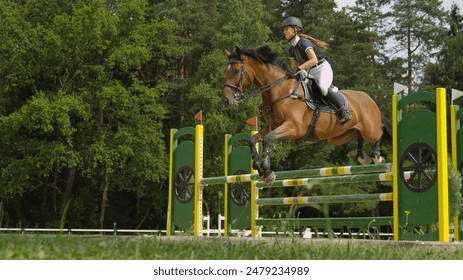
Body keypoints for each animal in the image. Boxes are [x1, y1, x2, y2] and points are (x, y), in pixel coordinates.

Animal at [221, 44, 392, 183]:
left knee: (380, 131)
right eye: (225, 71)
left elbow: (268, 139)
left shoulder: (294, 128)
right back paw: (362, 157)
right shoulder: (273, 126)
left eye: (236, 71)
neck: (280, 90)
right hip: (340, 136)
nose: (226, 100)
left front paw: (267, 169)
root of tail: (370, 99)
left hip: (370, 129)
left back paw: (377, 156)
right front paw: (260, 168)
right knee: (359, 135)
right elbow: (252, 139)